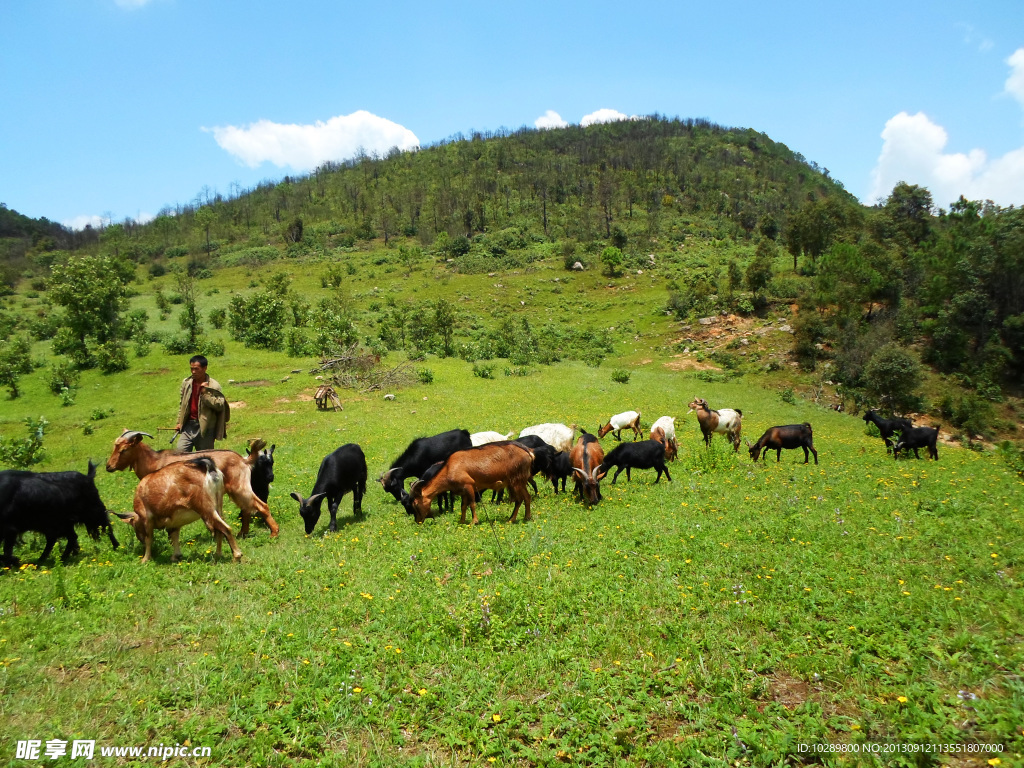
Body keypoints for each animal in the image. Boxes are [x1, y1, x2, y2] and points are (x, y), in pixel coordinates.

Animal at [105, 430, 278, 536]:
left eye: (124, 450)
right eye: (115, 446)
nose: (108, 466)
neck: (154, 462)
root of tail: (244, 460)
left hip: (240, 487)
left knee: (261, 506)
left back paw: (274, 533)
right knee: (247, 509)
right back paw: (242, 534)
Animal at [407, 442, 536, 528]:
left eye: (415, 503)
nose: (418, 521)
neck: (449, 468)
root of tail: (528, 452)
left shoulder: (468, 485)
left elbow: (472, 504)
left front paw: (474, 521)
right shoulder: (463, 491)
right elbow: (463, 506)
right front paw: (462, 521)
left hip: (516, 480)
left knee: (522, 498)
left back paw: (518, 519)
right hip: (516, 482)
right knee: (523, 498)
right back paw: (519, 518)